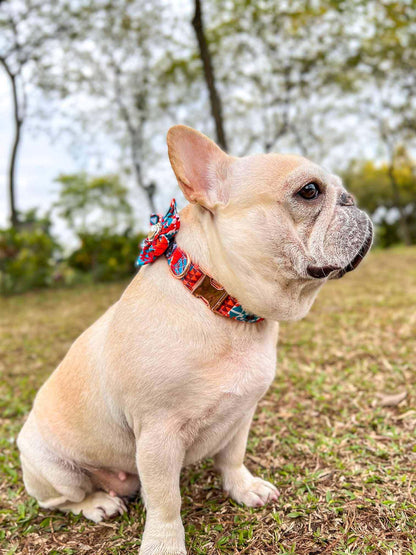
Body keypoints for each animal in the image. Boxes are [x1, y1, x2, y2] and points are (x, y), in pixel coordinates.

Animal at [17, 126, 374, 555]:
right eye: (309, 191)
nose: (352, 199)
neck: (221, 304)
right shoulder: (157, 435)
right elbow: (165, 500)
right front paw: (165, 544)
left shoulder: (242, 413)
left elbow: (233, 457)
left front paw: (243, 488)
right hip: (57, 471)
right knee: (61, 499)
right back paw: (97, 503)